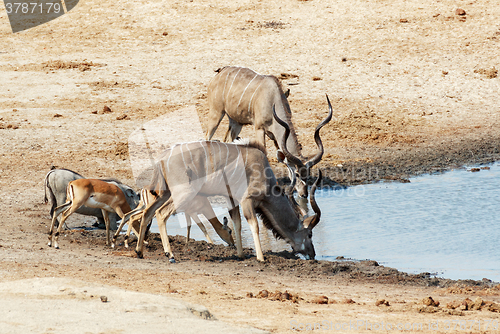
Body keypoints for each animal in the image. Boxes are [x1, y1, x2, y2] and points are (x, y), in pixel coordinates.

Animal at [135, 103, 330, 262]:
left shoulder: (231, 199)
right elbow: (254, 225)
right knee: (161, 214)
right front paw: (260, 258)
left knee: (148, 212)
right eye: (310, 233)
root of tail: (163, 157)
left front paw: (241, 254)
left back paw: (139, 251)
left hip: (165, 193)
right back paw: (170, 254)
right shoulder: (247, 200)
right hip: (183, 194)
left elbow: (237, 223)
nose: (312, 254)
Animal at [205, 67, 330, 198]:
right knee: (207, 136)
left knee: (228, 141)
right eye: (297, 174)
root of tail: (219, 73)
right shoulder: (259, 129)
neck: (272, 98)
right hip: (216, 113)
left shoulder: (277, 137)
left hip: (236, 122)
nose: (304, 194)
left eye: (308, 174)